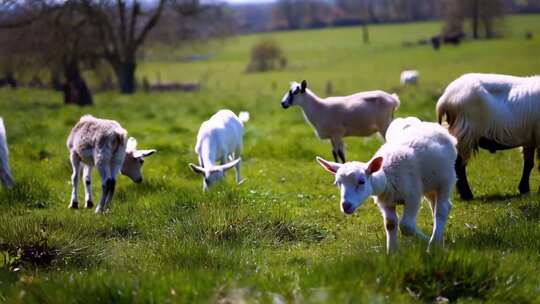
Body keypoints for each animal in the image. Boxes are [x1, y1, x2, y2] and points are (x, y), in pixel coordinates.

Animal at [314, 117, 458, 253]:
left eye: (362, 181)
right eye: (338, 183)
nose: (346, 206)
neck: (387, 176)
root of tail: (429, 124)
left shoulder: (413, 196)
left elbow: (406, 226)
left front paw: (426, 240)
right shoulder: (386, 202)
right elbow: (391, 224)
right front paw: (392, 252)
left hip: (446, 179)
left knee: (442, 209)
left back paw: (433, 244)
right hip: (430, 184)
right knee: (437, 206)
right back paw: (439, 239)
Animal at [436, 72, 540, 201]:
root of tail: (445, 98)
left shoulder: (530, 139)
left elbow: (529, 163)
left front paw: (524, 189)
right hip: (466, 131)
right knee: (459, 165)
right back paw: (467, 195)